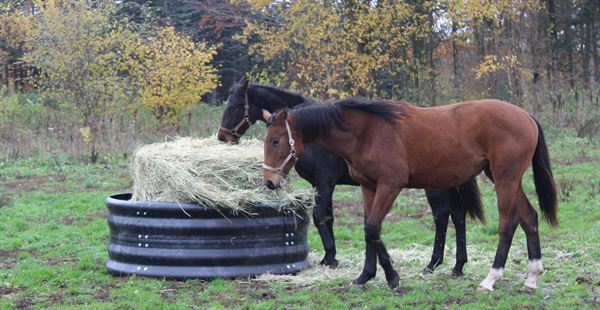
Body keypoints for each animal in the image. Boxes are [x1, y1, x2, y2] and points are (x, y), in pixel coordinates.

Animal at [262, 98, 556, 292]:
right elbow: (369, 229)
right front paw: (365, 275)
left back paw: (491, 278)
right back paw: (532, 276)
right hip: (504, 178)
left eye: (276, 141)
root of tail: (526, 116)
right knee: (529, 218)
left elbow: (372, 227)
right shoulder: (369, 187)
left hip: (505, 179)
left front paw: (392, 277)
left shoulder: (390, 185)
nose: (269, 182)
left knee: (508, 223)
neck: (365, 132)